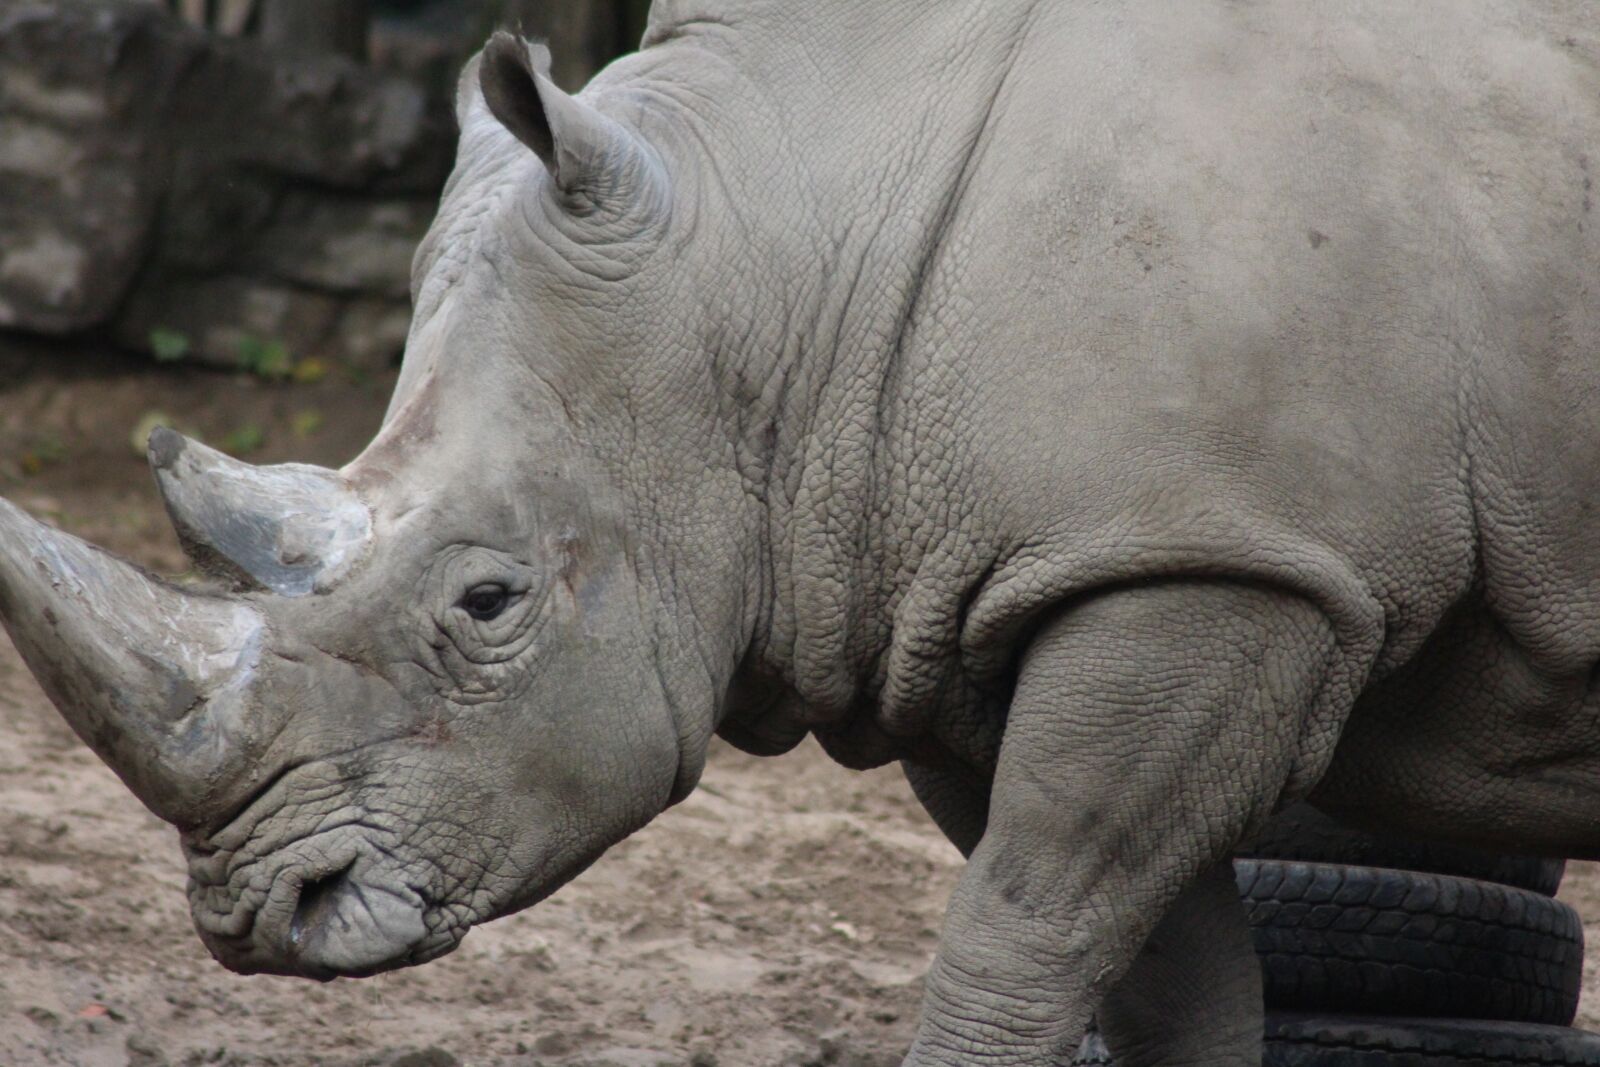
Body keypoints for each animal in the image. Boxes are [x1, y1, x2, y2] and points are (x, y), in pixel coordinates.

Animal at [2, 1, 1598, 1063]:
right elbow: (1159, 969)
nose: (264, 910)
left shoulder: (1226, 561)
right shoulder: (973, 589)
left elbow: (1026, 927)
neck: (782, 249)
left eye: (489, 601)